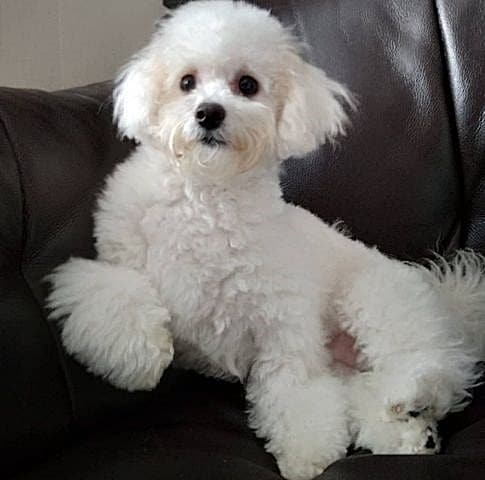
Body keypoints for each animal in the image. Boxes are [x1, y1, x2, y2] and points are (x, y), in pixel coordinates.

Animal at [47, 1, 484, 478]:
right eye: (186, 82)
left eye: (247, 85)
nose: (209, 112)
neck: (209, 194)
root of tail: (447, 301)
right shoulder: (119, 257)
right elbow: (112, 292)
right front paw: (139, 358)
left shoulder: (282, 324)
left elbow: (294, 390)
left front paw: (305, 456)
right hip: (353, 364)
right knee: (368, 398)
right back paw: (410, 434)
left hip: (375, 297)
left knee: (435, 367)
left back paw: (414, 395)